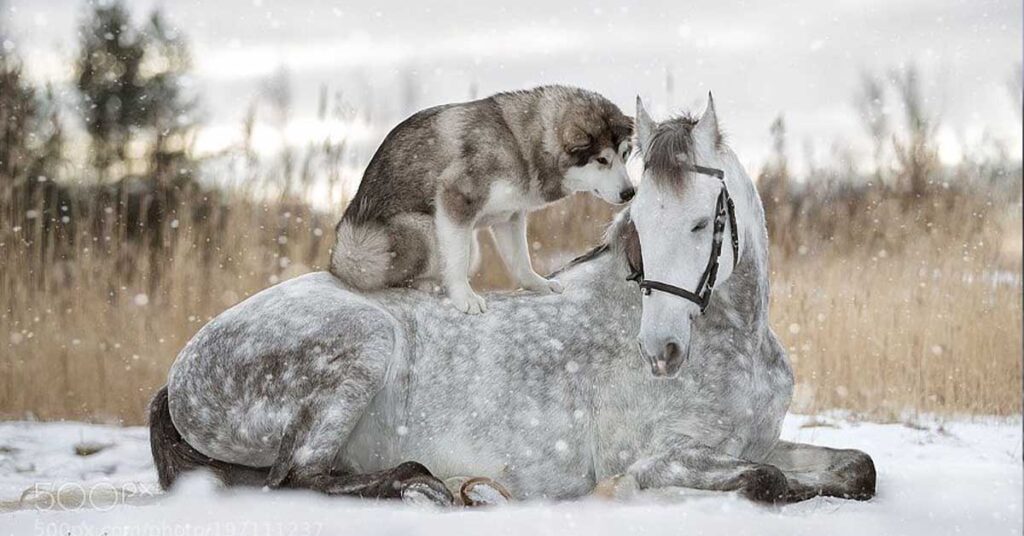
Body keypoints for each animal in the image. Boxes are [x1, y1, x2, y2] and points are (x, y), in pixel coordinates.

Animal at [329, 86, 630, 315]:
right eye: (602, 160)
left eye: (625, 155)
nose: (630, 193)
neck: (518, 144)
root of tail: (336, 262)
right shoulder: (456, 196)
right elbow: (458, 261)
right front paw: (464, 297)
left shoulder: (510, 216)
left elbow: (521, 260)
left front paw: (538, 283)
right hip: (411, 233)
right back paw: (427, 284)